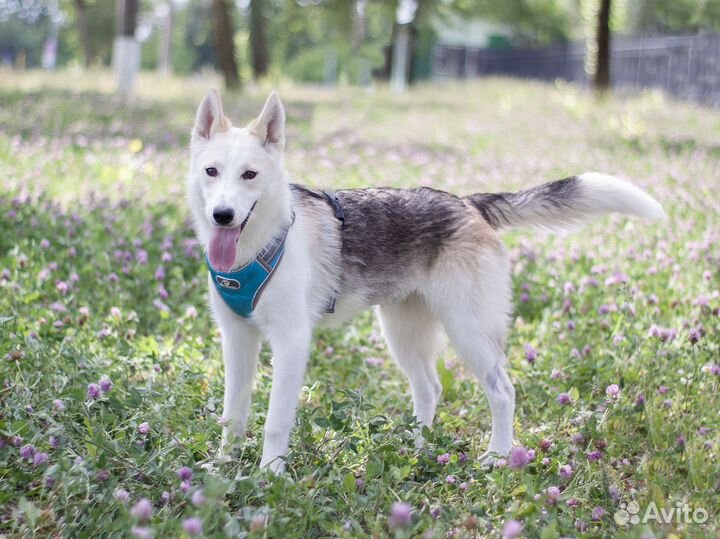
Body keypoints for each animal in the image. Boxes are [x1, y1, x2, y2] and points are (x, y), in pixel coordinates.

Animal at [188, 88, 668, 472]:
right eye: (211, 171)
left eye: (250, 174)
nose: (223, 215)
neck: (259, 244)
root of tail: (469, 203)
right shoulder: (238, 340)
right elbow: (233, 415)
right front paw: (223, 465)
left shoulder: (291, 343)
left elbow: (275, 421)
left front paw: (270, 475)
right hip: (403, 332)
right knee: (429, 388)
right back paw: (417, 448)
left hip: (469, 330)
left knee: (503, 391)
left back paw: (497, 455)